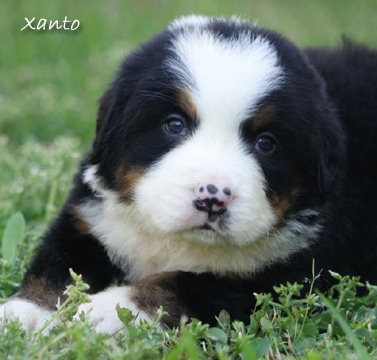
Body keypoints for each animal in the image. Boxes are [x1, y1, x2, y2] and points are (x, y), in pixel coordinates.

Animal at [0, 15, 376, 334]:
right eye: (174, 125)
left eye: (266, 143)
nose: (213, 197)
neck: (175, 240)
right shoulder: (91, 219)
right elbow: (57, 268)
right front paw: (24, 314)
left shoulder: (289, 271)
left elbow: (178, 283)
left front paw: (105, 311)